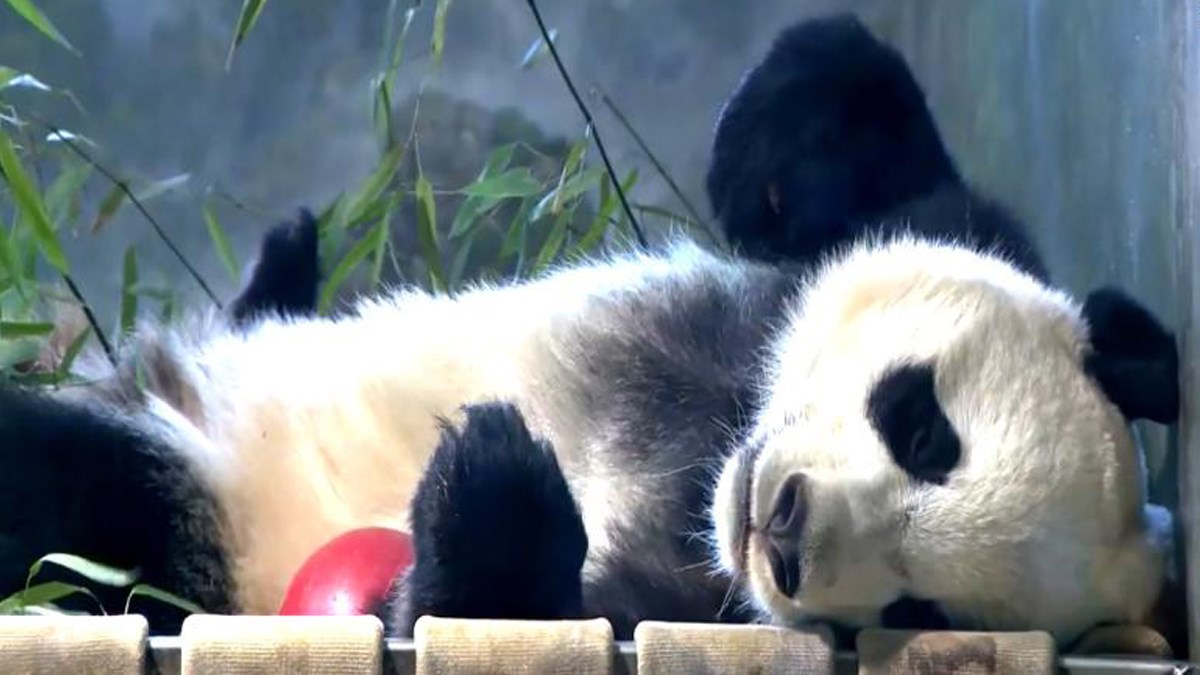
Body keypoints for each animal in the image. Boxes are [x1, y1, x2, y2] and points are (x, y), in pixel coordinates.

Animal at [0, 12, 1180, 655]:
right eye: (924, 430)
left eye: (914, 604)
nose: (786, 532)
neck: (709, 461)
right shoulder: (946, 244)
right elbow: (883, 168)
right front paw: (763, 143)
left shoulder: (690, 602)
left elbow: (486, 611)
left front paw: (492, 492)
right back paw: (283, 266)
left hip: (196, 526)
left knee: (69, 503)